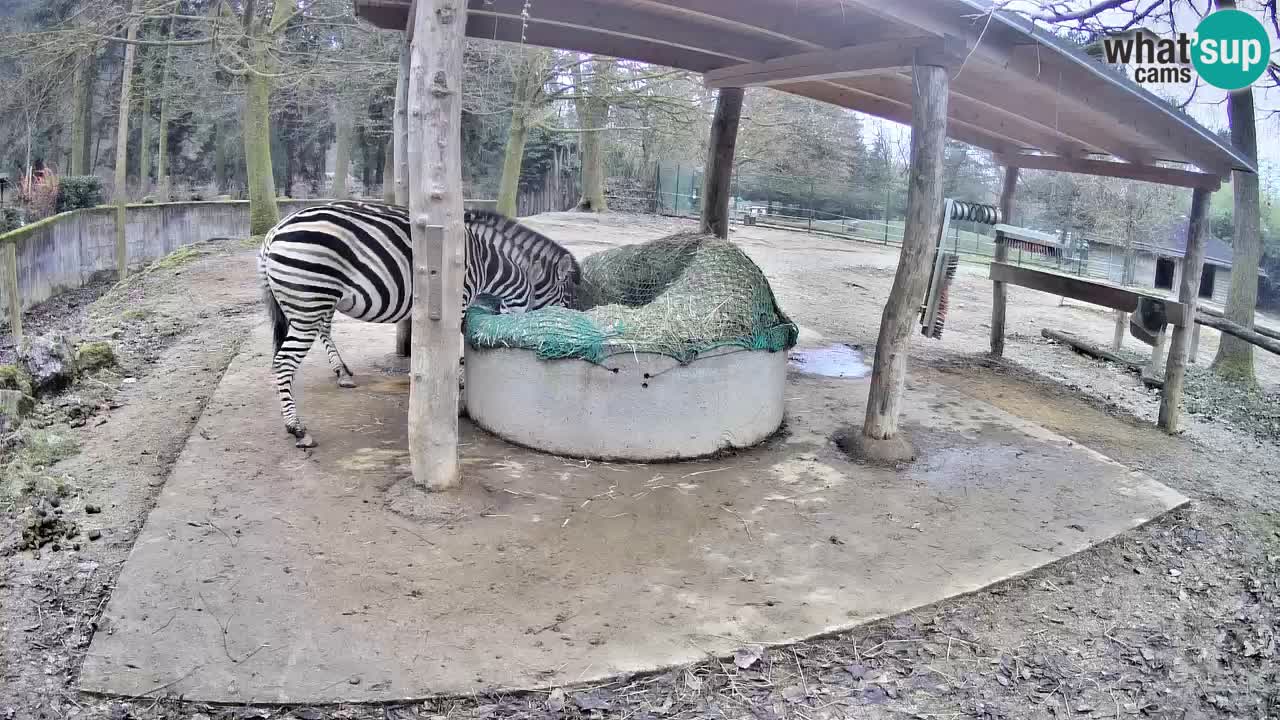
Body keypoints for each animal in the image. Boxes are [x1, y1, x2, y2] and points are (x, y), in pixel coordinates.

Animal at [259, 200, 580, 448]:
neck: (486, 261)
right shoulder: (458, 302)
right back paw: (297, 428)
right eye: (566, 302)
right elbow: (459, 341)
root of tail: (274, 232)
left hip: (318, 300)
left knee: (320, 332)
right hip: (310, 299)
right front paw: (457, 382)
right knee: (284, 362)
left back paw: (342, 373)